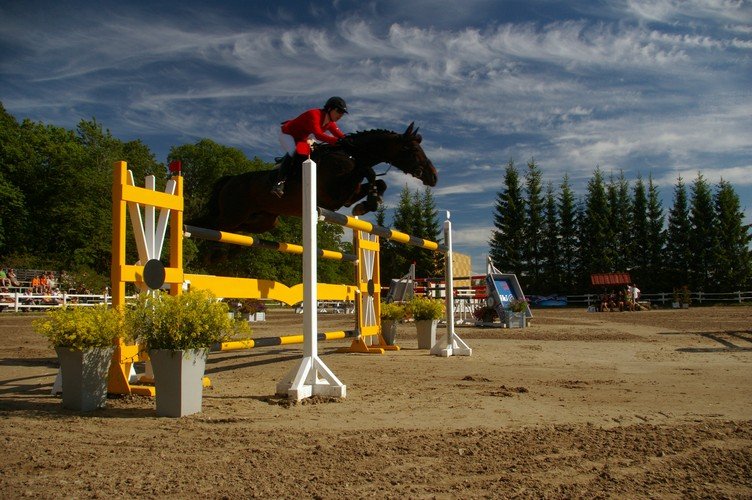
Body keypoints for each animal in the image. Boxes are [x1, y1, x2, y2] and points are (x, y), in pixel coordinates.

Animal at [189, 124, 440, 235]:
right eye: (413, 150)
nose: (434, 176)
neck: (352, 155)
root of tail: (230, 180)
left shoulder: (346, 195)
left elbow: (378, 182)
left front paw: (367, 204)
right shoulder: (333, 194)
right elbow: (368, 171)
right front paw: (368, 203)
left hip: (262, 220)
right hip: (232, 215)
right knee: (208, 224)